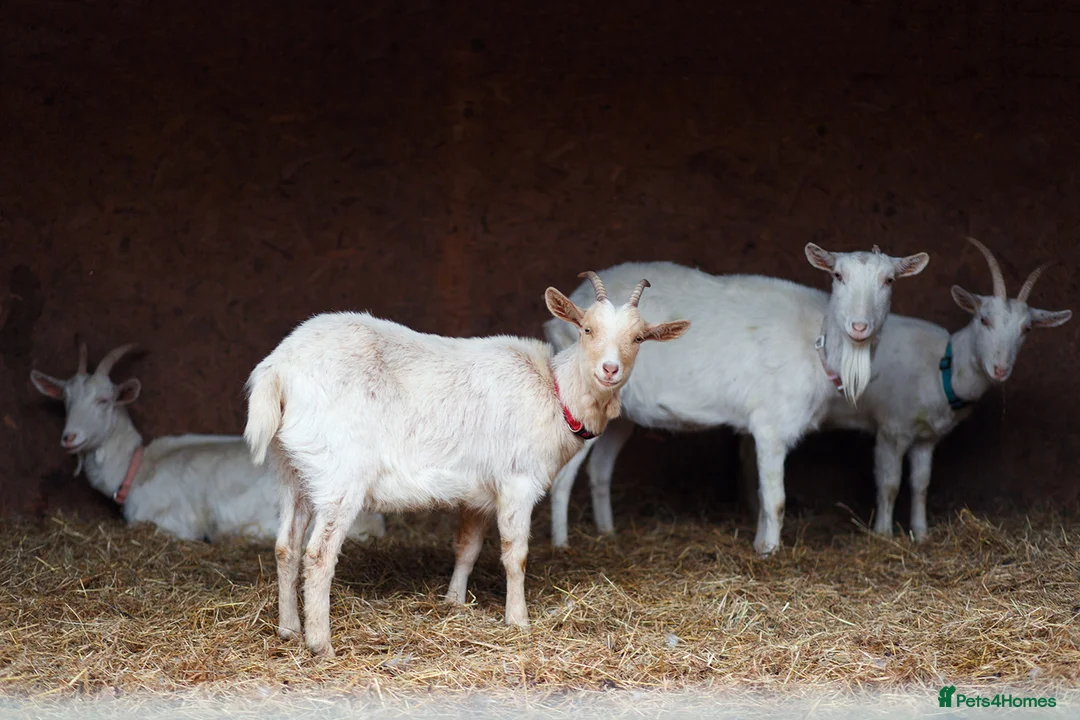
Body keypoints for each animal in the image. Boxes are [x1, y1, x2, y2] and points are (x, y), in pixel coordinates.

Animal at [244, 273, 690, 657]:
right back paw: (321, 644)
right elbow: (515, 554)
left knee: (286, 546)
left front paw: (454, 602)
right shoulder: (517, 481)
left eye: (638, 337)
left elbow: (468, 549)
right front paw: (518, 621)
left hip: (293, 469)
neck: (555, 392)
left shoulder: (478, 492)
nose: (609, 370)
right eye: (587, 330)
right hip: (339, 473)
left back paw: (288, 629)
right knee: (318, 554)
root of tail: (279, 369)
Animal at [545, 244, 930, 555]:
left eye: (889, 280)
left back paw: (607, 532)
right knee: (563, 478)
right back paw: (562, 543)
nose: (859, 327)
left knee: (600, 469)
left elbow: (761, 494)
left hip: (621, 415)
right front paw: (771, 552)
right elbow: (775, 500)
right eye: (838, 275)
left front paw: (760, 543)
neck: (816, 343)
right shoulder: (770, 425)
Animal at [737, 237, 1072, 541]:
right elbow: (890, 483)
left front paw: (921, 534)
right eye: (984, 319)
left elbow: (920, 484)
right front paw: (883, 534)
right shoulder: (892, 429)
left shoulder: (927, 437)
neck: (942, 368)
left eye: (1026, 329)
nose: (1000, 369)